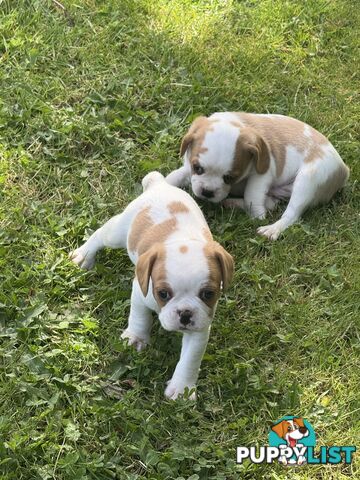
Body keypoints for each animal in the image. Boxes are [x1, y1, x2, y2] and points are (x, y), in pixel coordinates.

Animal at [70, 172, 233, 398]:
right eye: (163, 293)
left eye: (208, 294)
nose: (185, 314)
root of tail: (159, 184)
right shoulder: (140, 294)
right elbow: (140, 317)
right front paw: (136, 338)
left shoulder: (201, 327)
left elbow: (190, 360)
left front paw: (182, 389)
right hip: (119, 232)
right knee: (101, 234)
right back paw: (84, 255)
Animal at [167, 112, 350, 240]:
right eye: (197, 168)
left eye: (229, 178)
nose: (207, 192)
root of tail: (344, 168)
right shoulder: (188, 167)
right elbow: (176, 176)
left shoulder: (263, 174)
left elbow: (252, 195)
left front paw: (257, 216)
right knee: (273, 203)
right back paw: (232, 202)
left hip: (309, 179)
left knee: (291, 214)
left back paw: (272, 229)